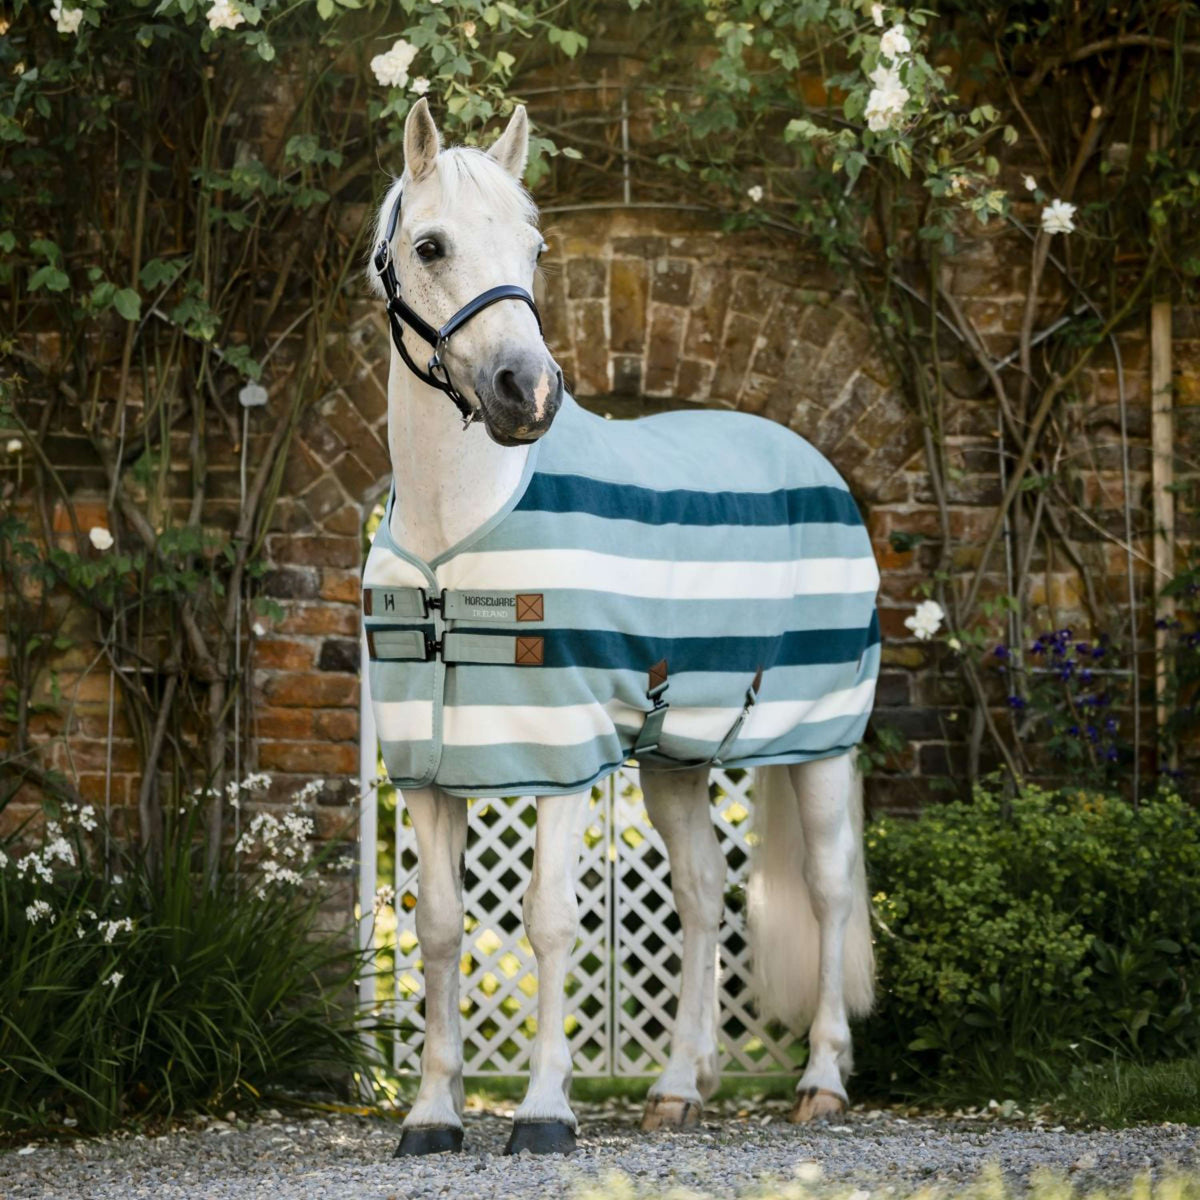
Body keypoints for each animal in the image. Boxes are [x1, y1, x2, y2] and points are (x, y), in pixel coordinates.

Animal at [363, 97, 879, 1157]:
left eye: (534, 246)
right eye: (430, 245)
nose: (527, 392)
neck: (452, 532)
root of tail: (812, 462)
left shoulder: (561, 753)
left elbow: (550, 920)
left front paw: (543, 1113)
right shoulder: (430, 768)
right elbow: (438, 927)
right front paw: (432, 1115)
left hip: (818, 741)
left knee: (829, 890)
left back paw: (821, 1081)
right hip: (676, 757)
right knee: (703, 896)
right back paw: (681, 1087)